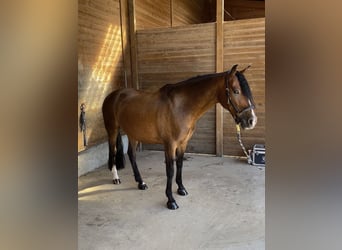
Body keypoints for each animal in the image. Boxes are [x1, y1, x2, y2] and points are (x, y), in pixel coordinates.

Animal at [101, 64, 256, 209]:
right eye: (236, 91)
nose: (252, 121)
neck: (181, 107)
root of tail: (113, 95)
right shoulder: (170, 144)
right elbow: (170, 170)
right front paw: (171, 200)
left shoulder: (183, 143)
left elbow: (180, 165)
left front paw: (181, 189)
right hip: (112, 130)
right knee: (112, 152)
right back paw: (116, 178)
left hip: (133, 133)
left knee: (132, 155)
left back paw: (141, 183)